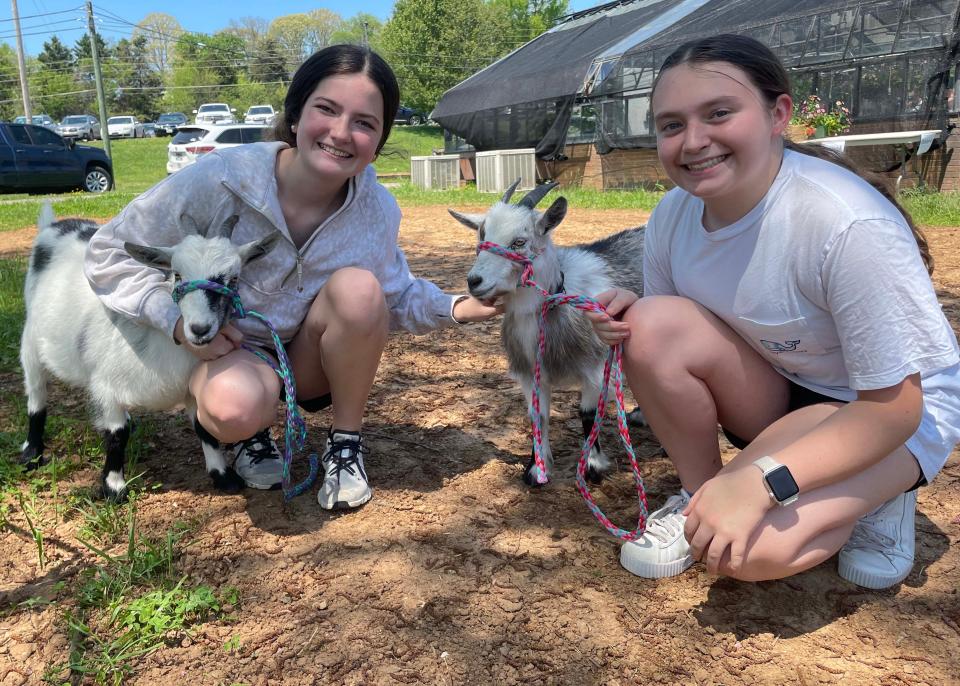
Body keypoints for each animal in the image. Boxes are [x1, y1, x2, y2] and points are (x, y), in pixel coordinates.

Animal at [450, 180, 644, 486]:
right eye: (481, 238)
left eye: (519, 242)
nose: (474, 282)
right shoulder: (531, 372)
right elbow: (538, 415)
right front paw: (536, 469)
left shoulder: (598, 366)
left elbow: (588, 414)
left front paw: (593, 465)